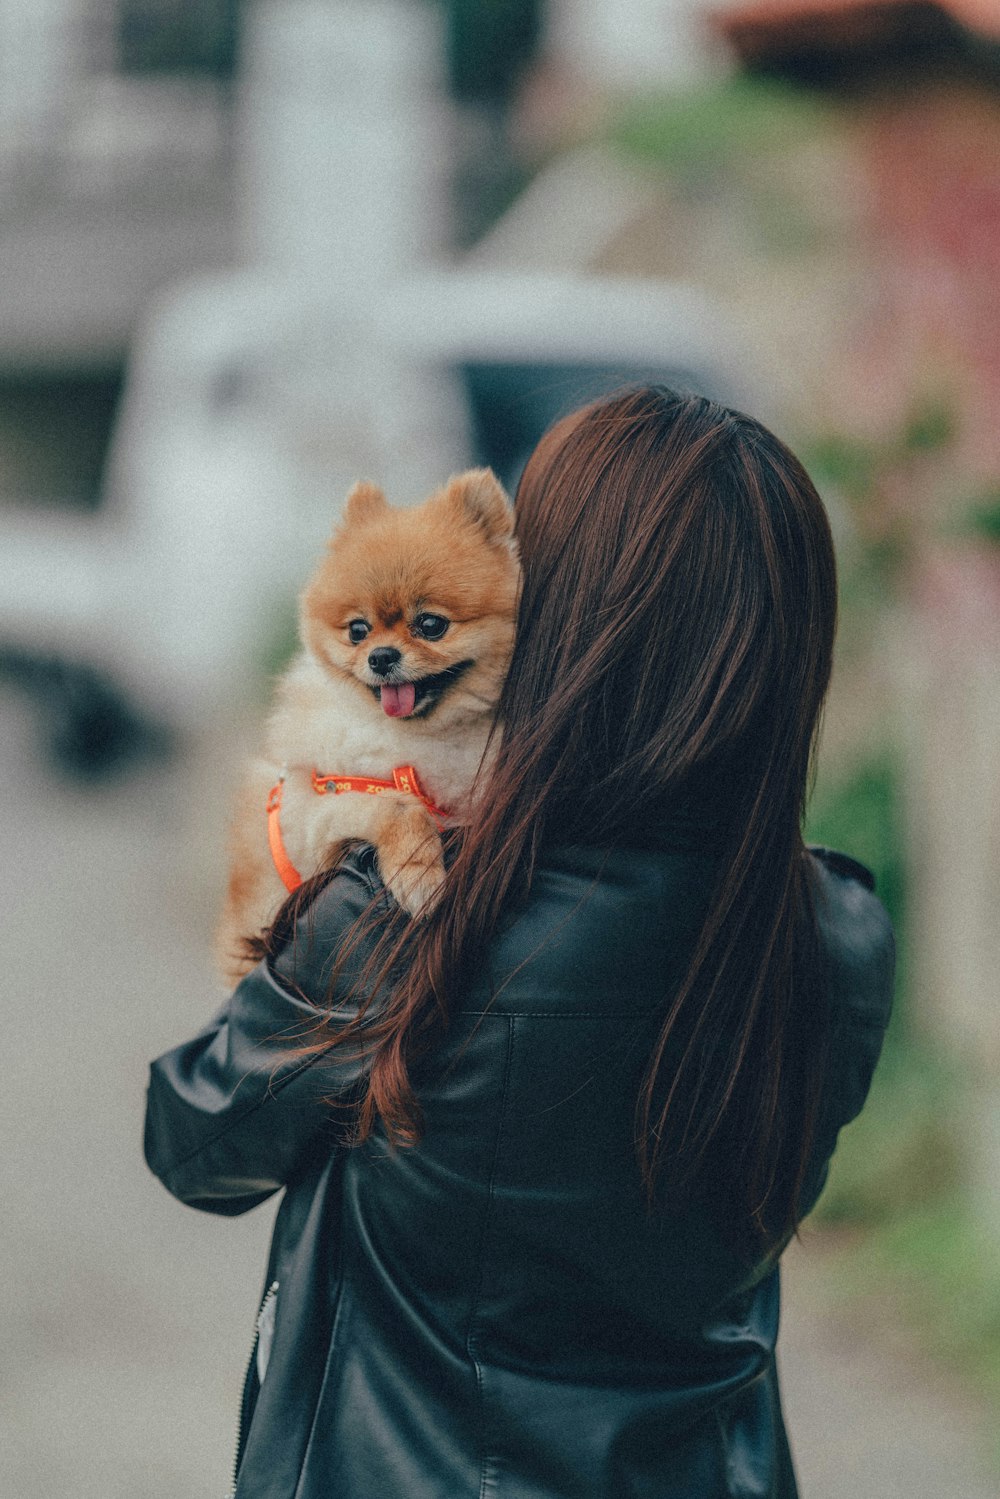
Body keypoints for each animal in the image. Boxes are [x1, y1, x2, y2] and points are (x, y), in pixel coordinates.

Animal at [215, 467, 521, 983]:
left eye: (431, 624)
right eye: (358, 630)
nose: (380, 656)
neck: (416, 739)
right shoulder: (318, 814)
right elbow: (397, 807)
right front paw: (419, 877)